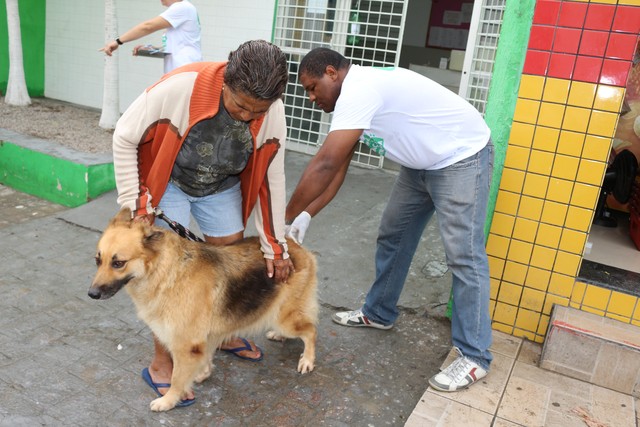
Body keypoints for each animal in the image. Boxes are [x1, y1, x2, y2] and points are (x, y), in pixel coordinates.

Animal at [89, 209, 318, 412]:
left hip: (285, 319)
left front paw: (169, 400)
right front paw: (201, 374)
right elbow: (204, 357)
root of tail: (292, 246)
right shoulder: (202, 337)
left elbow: (176, 378)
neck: (167, 273)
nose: (91, 294)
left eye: (118, 263)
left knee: (310, 330)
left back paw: (307, 360)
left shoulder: (183, 345)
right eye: (98, 260)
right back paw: (279, 336)